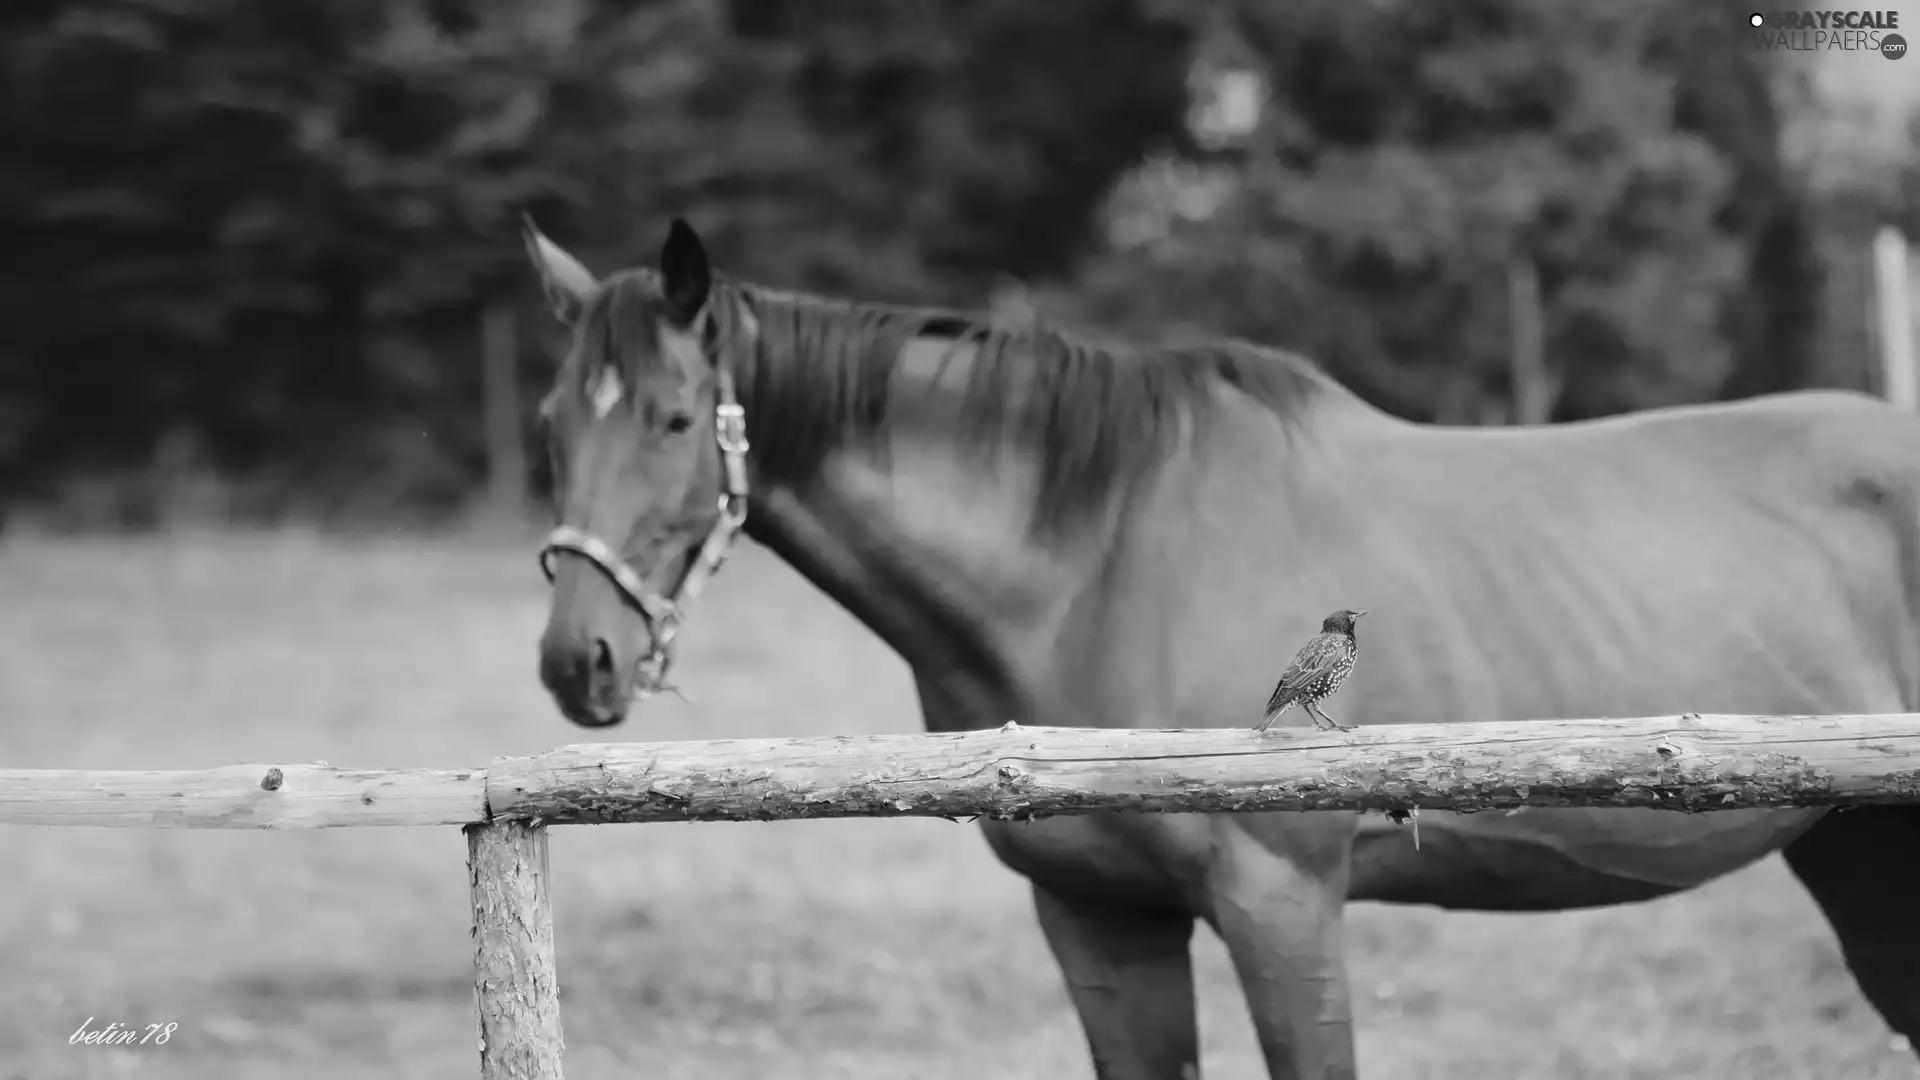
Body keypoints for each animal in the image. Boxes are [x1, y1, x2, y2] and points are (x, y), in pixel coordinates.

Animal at [522, 214, 1920, 1068]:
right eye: (551, 418)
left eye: (673, 417)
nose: (574, 661)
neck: (1093, 556)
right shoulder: (1100, 922)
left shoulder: (1282, 906)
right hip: (1855, 848)